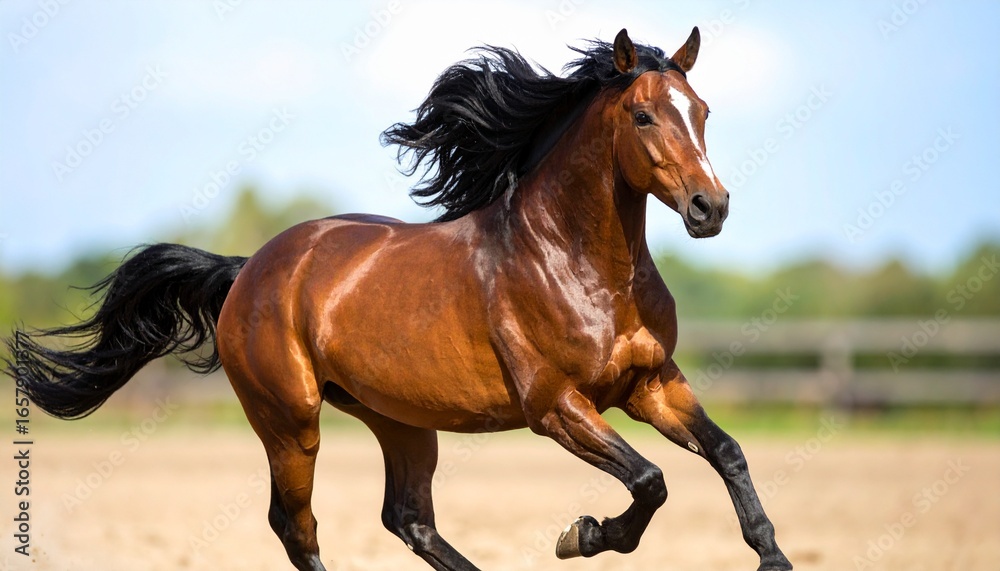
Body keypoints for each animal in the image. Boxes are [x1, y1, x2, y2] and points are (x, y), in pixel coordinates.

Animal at [6, 28, 792, 571]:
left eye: (703, 110)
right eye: (644, 117)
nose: (710, 207)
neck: (581, 265)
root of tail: (250, 268)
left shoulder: (651, 383)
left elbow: (727, 453)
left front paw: (773, 555)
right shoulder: (555, 406)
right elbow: (652, 480)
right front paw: (583, 535)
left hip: (401, 420)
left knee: (407, 518)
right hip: (291, 423)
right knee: (296, 525)